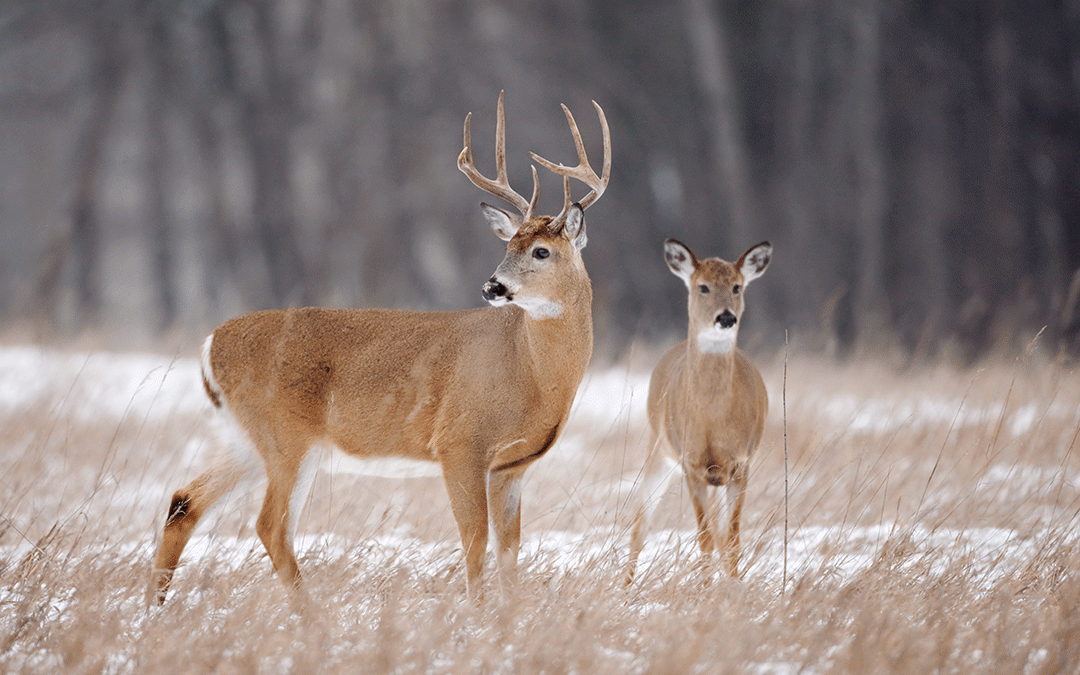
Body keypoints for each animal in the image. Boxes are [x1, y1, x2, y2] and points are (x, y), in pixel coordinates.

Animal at [149, 92, 610, 604]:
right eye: (508, 245)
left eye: (541, 251)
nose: (492, 286)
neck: (532, 373)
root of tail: (211, 344)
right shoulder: (458, 443)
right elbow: (475, 543)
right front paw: (476, 612)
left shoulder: (512, 466)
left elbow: (510, 552)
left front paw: (510, 615)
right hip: (286, 434)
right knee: (271, 525)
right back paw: (312, 615)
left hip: (244, 438)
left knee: (184, 501)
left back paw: (155, 608)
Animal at [624, 238, 772, 584]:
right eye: (702, 287)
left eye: (737, 286)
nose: (726, 318)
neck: (712, 419)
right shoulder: (690, 463)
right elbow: (705, 539)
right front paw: (704, 590)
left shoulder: (741, 462)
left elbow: (730, 540)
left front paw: (732, 589)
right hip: (659, 450)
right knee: (639, 526)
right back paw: (624, 587)